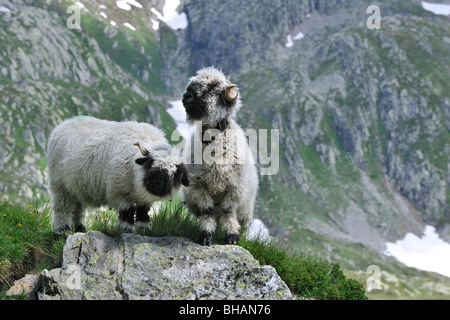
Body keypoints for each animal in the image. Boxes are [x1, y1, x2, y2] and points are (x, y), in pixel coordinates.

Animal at [48, 115, 189, 235]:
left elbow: (143, 213)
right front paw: (127, 229)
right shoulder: (119, 192)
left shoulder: (145, 199)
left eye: (176, 173)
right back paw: (62, 229)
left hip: (77, 188)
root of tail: (64, 123)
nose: (157, 184)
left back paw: (80, 228)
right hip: (60, 185)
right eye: (150, 163)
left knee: (78, 208)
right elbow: (128, 211)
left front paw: (144, 230)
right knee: (62, 208)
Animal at [181, 66, 258, 244]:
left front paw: (232, 236)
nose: (186, 96)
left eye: (212, 87)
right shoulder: (197, 185)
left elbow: (229, 213)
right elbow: (206, 211)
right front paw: (206, 236)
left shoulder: (235, 188)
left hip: (246, 210)